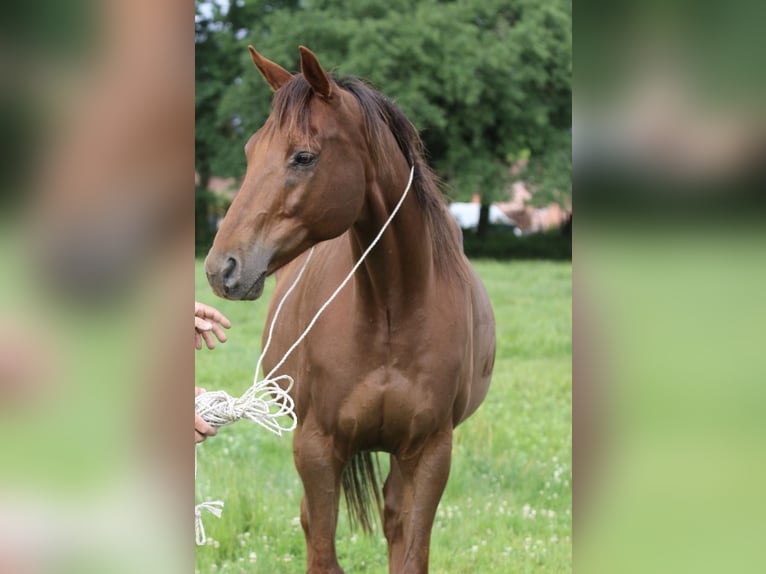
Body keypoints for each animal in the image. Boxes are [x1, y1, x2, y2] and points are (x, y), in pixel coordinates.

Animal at [206, 46, 498, 574]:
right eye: (250, 152)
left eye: (303, 156)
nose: (222, 268)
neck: (391, 309)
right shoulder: (317, 448)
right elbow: (323, 552)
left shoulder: (430, 453)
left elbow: (411, 553)